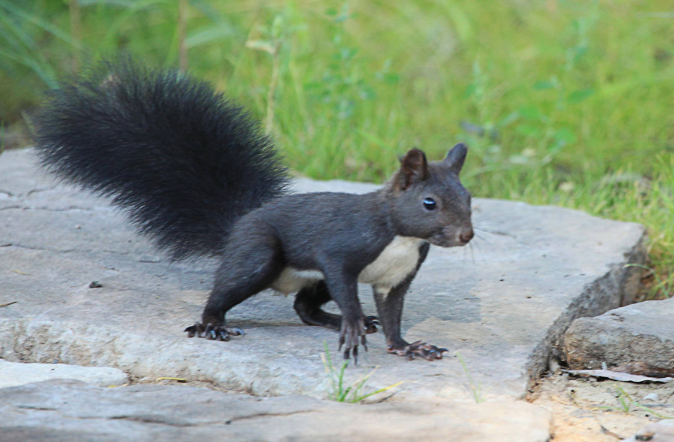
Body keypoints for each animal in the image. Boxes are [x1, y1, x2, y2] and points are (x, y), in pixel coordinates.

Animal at [32, 58, 472, 362]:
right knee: (225, 291)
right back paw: (212, 325)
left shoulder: (396, 278)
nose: (465, 235)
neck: (402, 238)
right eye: (429, 203)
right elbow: (346, 287)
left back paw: (348, 321)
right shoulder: (341, 249)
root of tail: (239, 224)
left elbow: (394, 315)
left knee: (304, 307)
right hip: (259, 254)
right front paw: (351, 323)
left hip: (309, 278)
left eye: (469, 199)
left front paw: (406, 346)